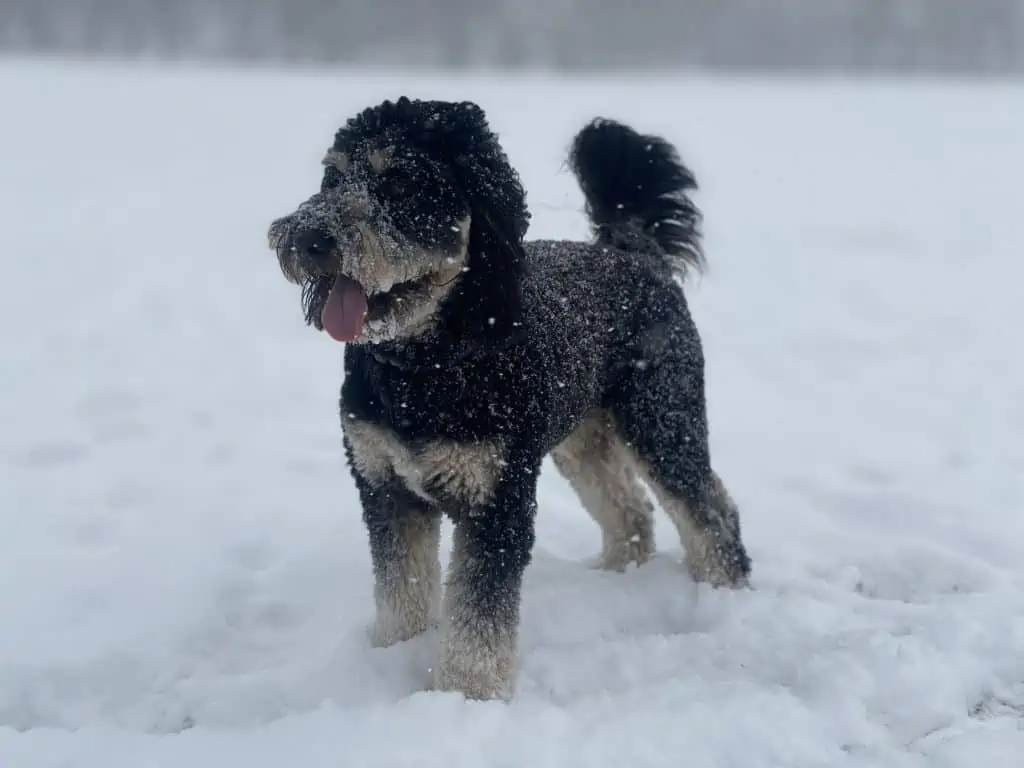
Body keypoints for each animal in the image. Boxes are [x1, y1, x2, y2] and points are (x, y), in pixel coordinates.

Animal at [268, 97, 753, 704]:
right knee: (630, 508)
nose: (309, 239)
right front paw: (393, 654)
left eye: (401, 183)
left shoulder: (496, 500)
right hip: (582, 441)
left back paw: (724, 591)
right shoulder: (385, 486)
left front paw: (465, 696)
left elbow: (479, 613)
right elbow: (401, 586)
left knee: (709, 508)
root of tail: (636, 252)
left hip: (662, 417)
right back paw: (617, 576)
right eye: (332, 178)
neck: (426, 365)